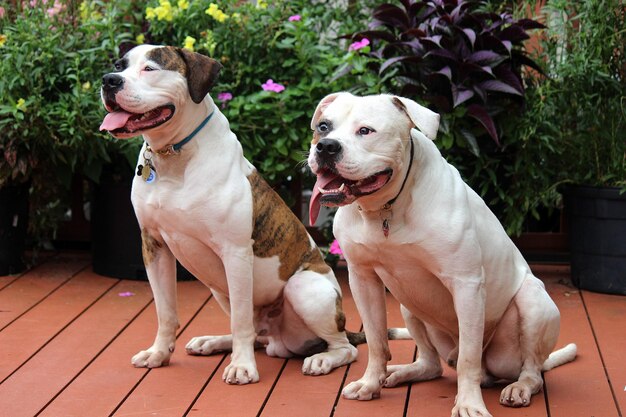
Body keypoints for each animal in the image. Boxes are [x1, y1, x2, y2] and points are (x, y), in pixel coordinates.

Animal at [98, 45, 364, 384]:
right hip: (218, 289)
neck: (173, 156)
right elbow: (165, 311)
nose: (109, 80)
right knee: (257, 335)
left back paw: (322, 360)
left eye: (150, 68)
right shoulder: (153, 246)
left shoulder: (235, 253)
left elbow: (240, 320)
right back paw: (212, 342)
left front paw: (242, 366)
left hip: (303, 289)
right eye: (119, 65)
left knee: (344, 347)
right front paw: (158, 353)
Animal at [308, 92, 576, 416]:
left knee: (531, 370)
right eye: (323, 126)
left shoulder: (466, 284)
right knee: (431, 363)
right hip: (408, 304)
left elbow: (469, 358)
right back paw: (403, 372)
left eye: (366, 131)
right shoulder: (363, 279)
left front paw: (469, 404)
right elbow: (375, 340)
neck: (386, 209)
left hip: (533, 302)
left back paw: (519, 387)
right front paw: (370, 383)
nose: (326, 146)